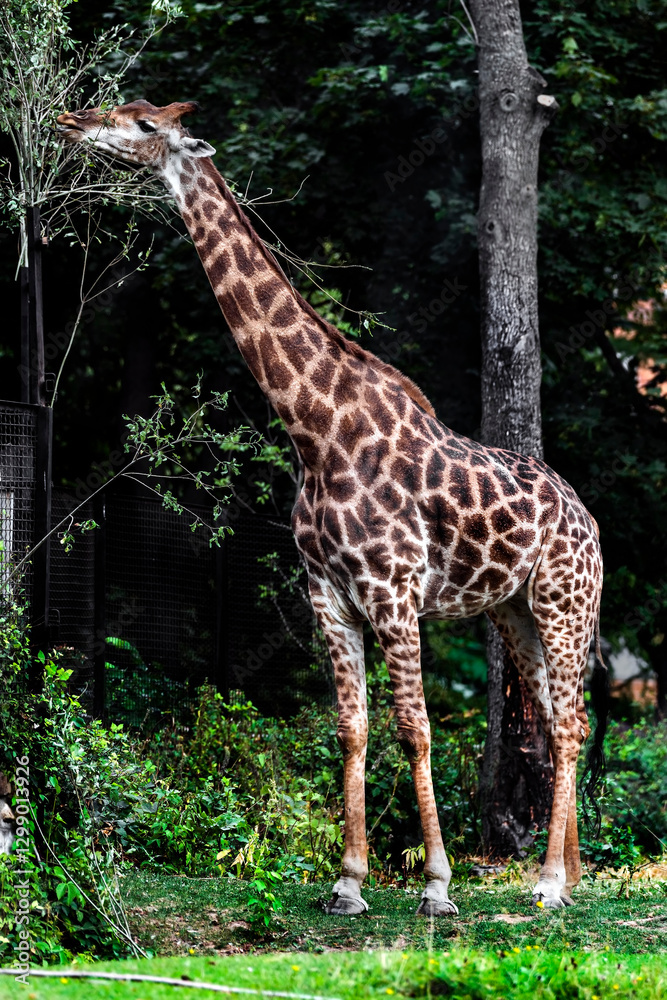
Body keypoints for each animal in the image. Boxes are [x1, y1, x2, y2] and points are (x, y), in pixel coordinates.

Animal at [57, 99, 605, 916]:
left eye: (144, 123)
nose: (71, 120)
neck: (313, 428)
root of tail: (590, 522)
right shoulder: (328, 593)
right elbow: (351, 728)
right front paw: (348, 882)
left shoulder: (392, 590)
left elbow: (414, 728)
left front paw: (436, 886)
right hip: (516, 610)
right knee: (560, 714)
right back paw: (563, 871)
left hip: (566, 600)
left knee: (568, 722)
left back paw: (547, 883)